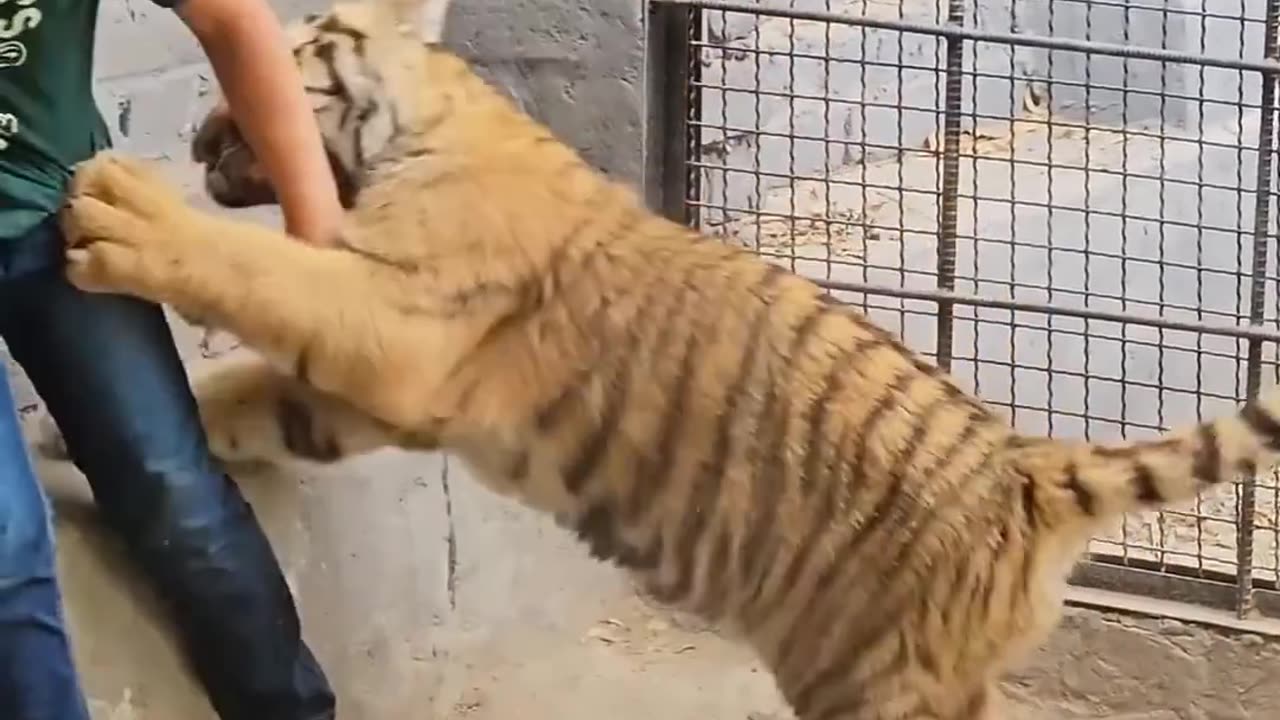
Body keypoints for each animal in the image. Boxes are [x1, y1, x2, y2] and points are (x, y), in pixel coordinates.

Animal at [55, 2, 1280, 712]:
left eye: (271, 78)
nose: (197, 140)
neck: (428, 120)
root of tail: (1026, 471)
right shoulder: (374, 393)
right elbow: (241, 398)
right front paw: (61, 442)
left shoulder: (401, 322)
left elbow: (258, 271)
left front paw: (123, 217)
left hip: (877, 681)